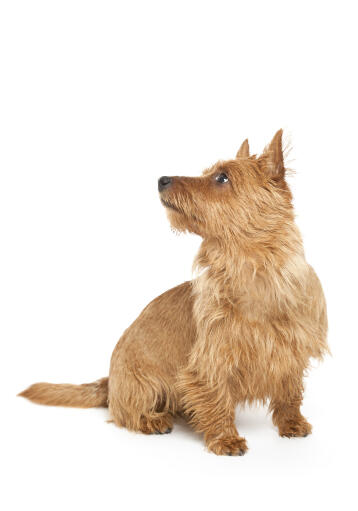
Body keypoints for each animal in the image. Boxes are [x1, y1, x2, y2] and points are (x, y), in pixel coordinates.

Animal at [18, 131, 328, 456]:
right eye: (209, 173)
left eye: (222, 177)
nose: (162, 179)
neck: (252, 273)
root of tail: (110, 381)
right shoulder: (211, 360)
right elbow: (216, 399)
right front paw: (225, 438)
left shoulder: (292, 349)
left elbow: (289, 392)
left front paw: (292, 423)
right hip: (142, 385)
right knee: (125, 413)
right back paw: (153, 419)